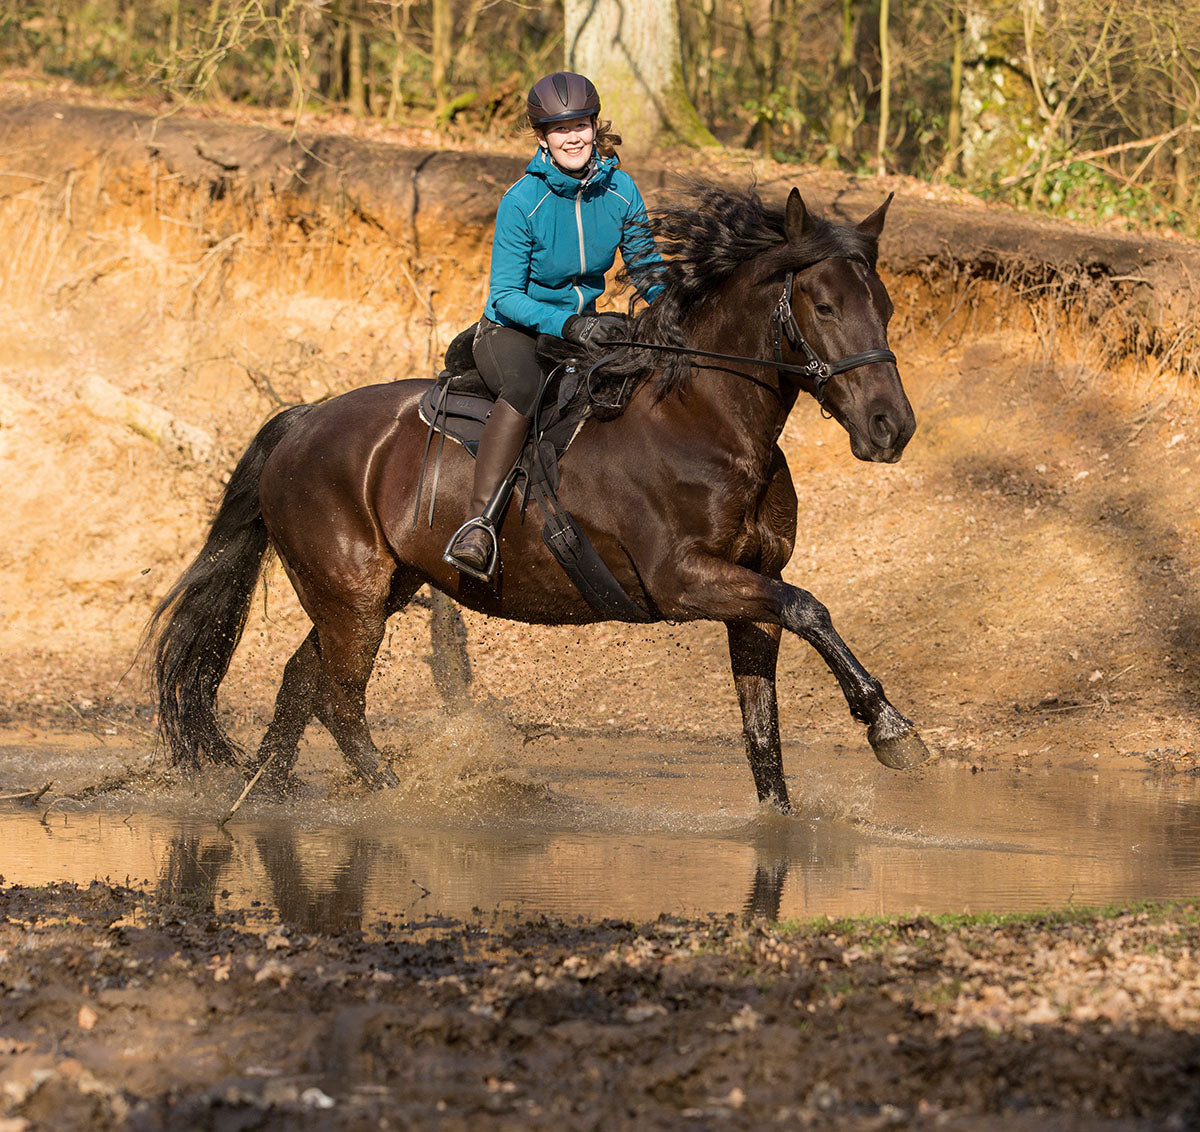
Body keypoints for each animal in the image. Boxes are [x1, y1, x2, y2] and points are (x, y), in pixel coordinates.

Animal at [147, 183, 926, 816]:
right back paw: (399, 799)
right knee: (339, 702)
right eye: (824, 306)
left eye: (885, 308)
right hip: (350, 595)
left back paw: (266, 795)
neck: (706, 423)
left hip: (375, 591)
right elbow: (810, 607)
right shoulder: (684, 582)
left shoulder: (751, 591)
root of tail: (302, 420)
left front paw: (786, 819)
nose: (893, 427)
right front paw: (893, 731)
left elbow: (764, 727)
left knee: (299, 684)